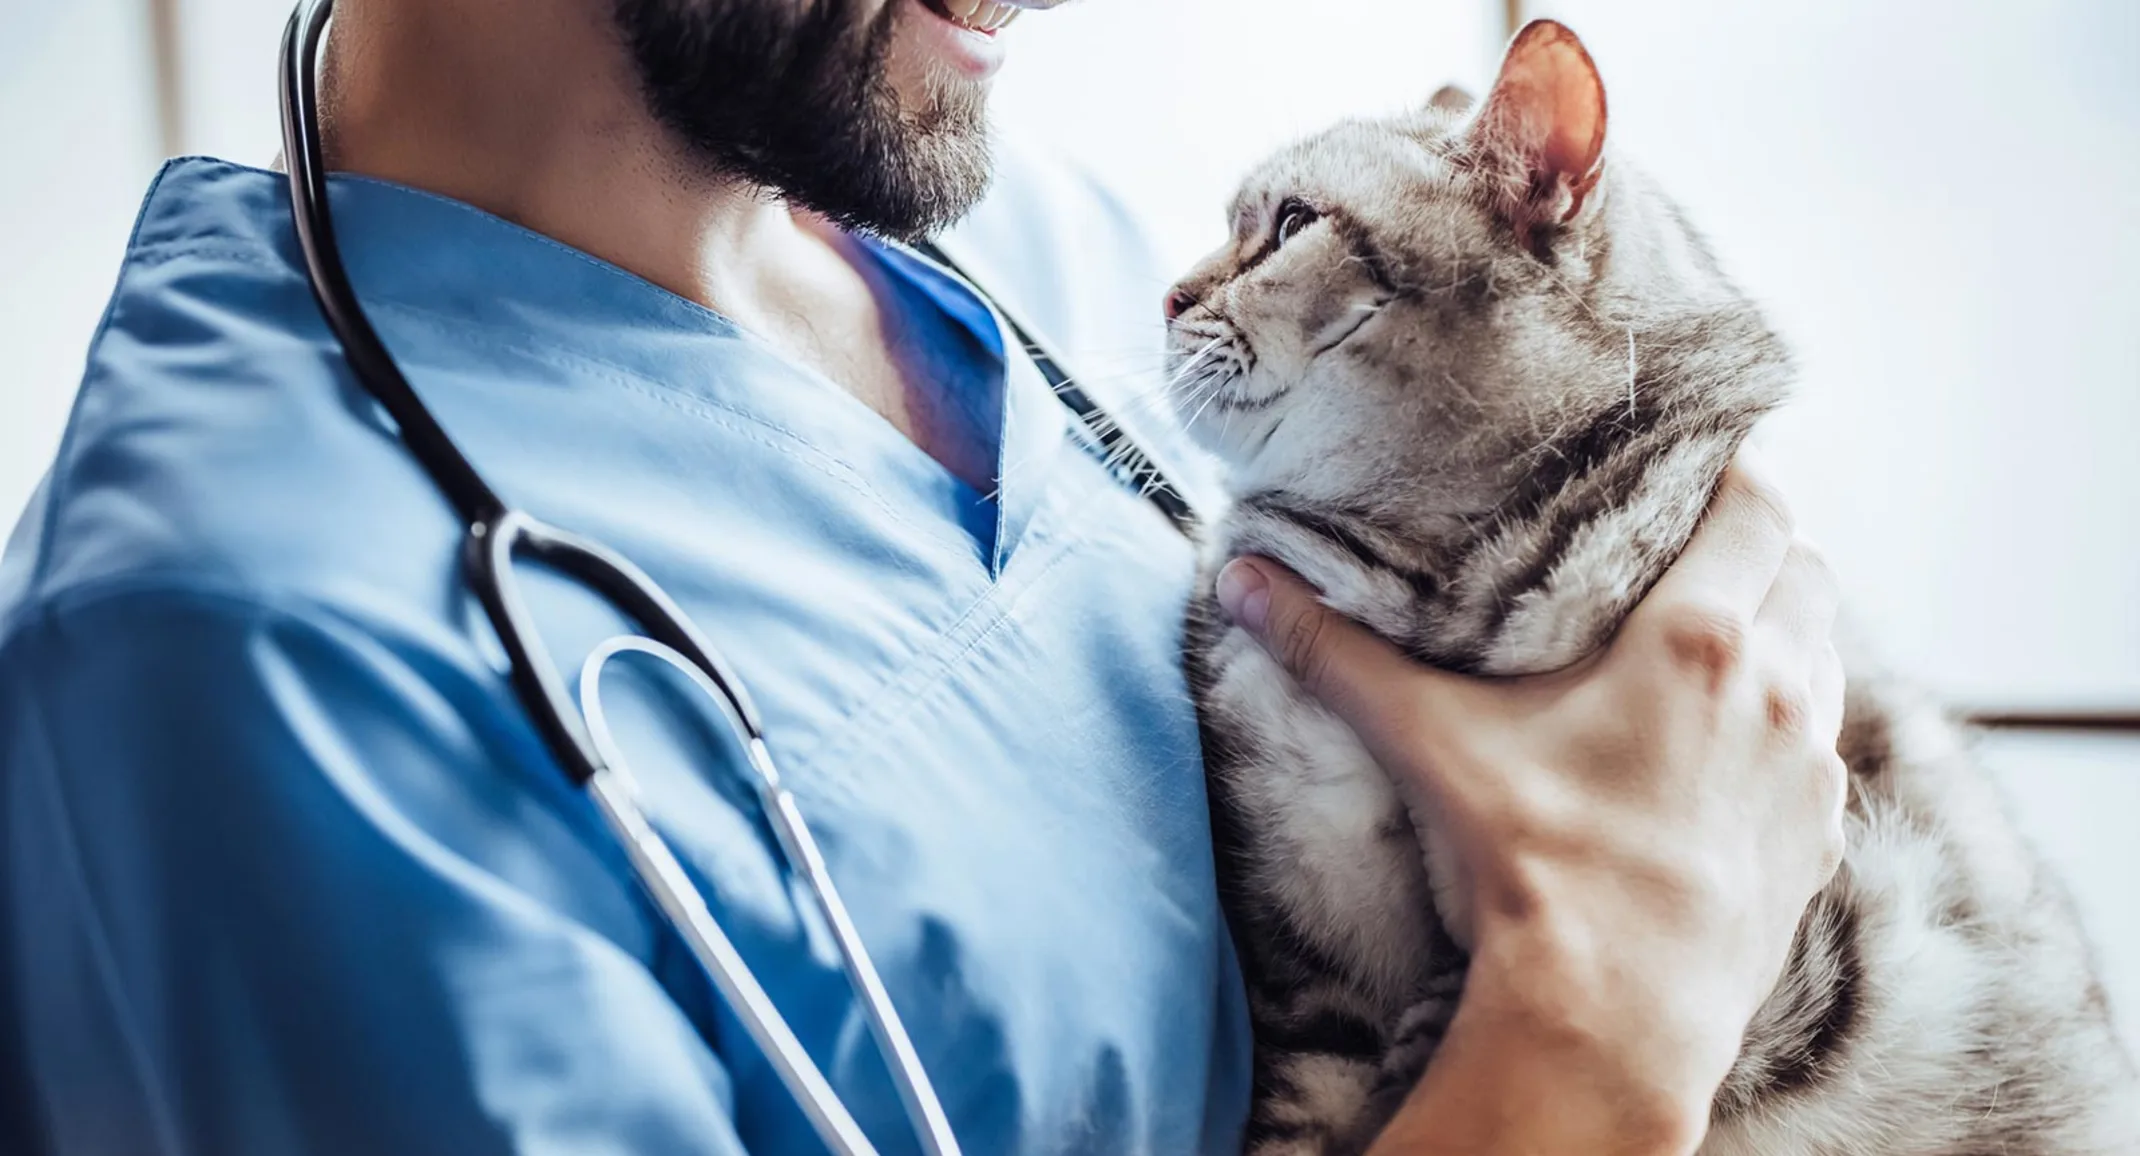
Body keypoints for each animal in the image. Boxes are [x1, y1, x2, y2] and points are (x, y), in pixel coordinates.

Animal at [1172, 18, 2140, 1156]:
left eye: (1290, 222)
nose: (1170, 295)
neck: (1410, 586)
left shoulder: (1846, 933)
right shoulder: (1305, 968)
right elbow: (1306, 1109)